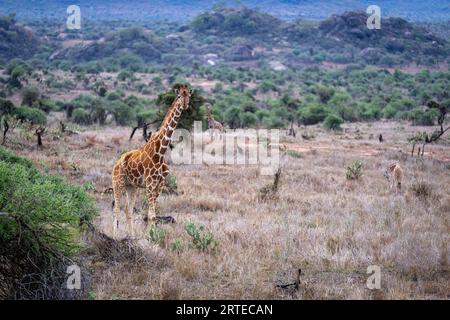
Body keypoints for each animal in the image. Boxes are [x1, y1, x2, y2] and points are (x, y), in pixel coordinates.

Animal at [111, 85, 192, 238]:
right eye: (179, 96)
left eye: (188, 96)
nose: (185, 105)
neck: (161, 152)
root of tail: (116, 163)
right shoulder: (149, 183)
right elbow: (151, 215)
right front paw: (150, 237)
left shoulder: (160, 184)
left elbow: (153, 214)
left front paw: (153, 236)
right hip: (118, 182)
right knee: (116, 208)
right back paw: (114, 236)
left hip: (132, 186)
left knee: (128, 209)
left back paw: (132, 236)